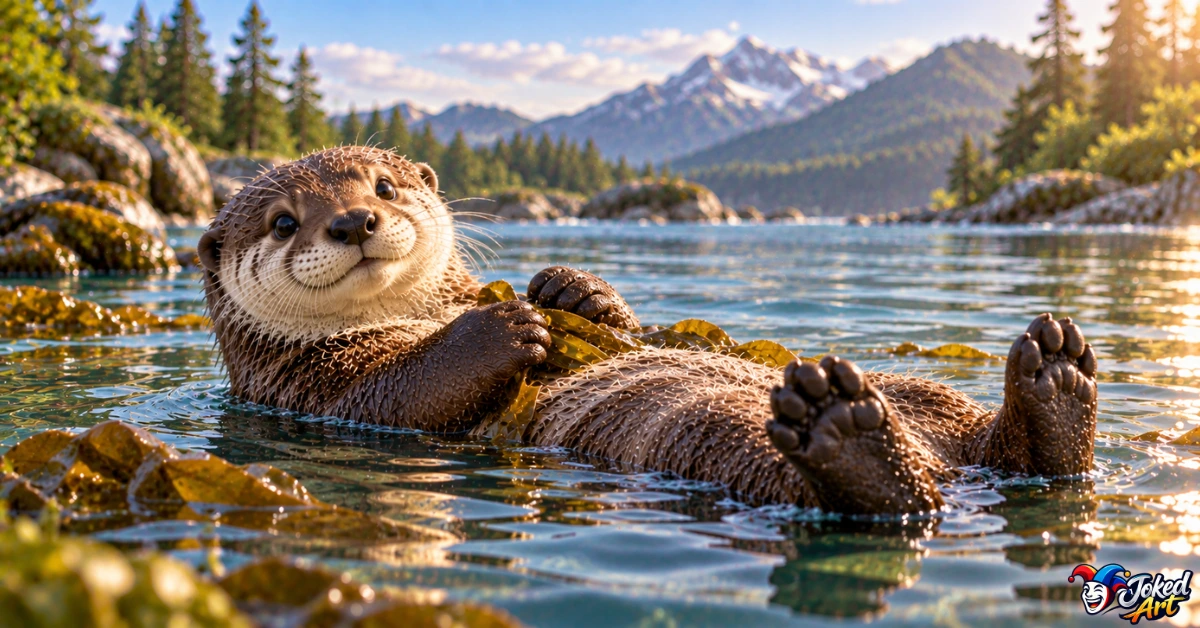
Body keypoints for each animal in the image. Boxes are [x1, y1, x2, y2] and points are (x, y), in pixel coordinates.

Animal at [197, 146, 1099, 515]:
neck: (425, 313)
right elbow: (405, 389)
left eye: (383, 186)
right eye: (284, 222)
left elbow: (605, 312)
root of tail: (953, 475)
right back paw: (852, 442)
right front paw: (505, 327)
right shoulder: (318, 386)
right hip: (709, 432)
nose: (353, 220)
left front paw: (567, 289)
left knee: (1003, 446)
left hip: (929, 392)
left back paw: (1055, 380)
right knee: (874, 495)